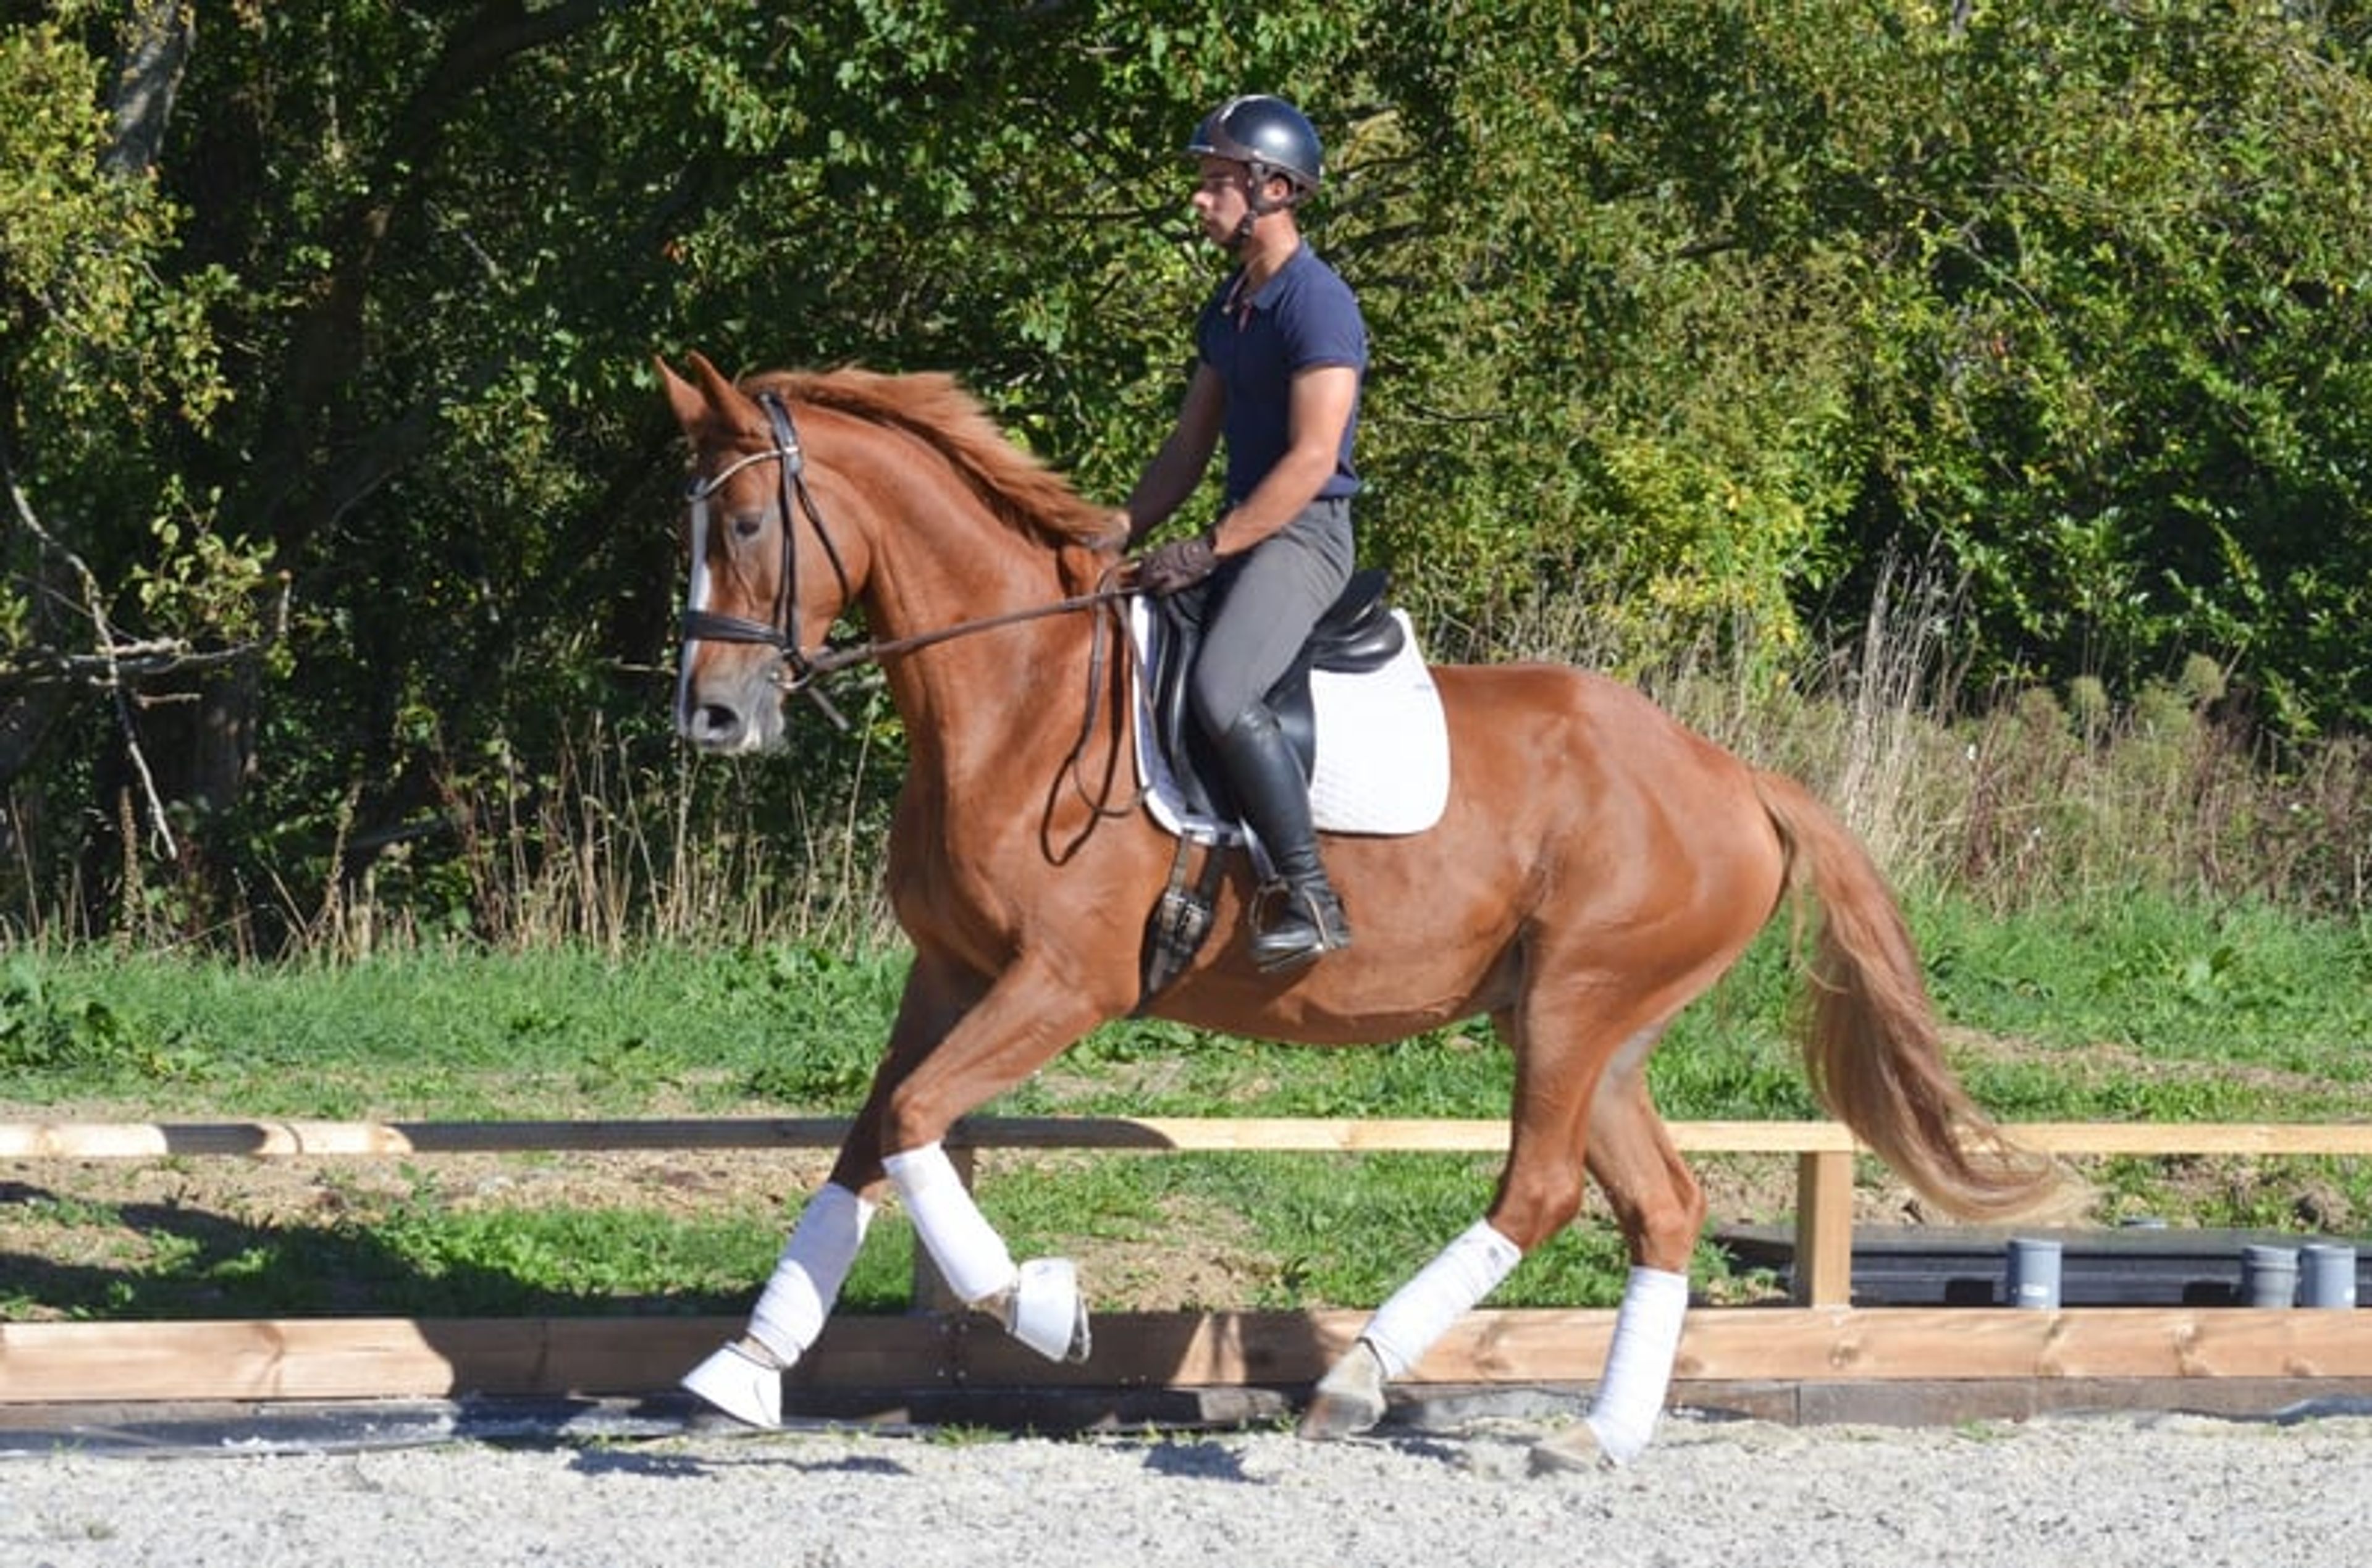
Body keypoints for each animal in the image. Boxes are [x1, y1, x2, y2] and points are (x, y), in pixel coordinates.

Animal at [657, 351, 2068, 1469]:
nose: (710, 717)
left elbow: (913, 1119)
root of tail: (1732, 775)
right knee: (1660, 1202)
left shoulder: (1065, 979)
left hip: (1577, 1002)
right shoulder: (948, 970)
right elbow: (871, 1137)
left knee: (1540, 1187)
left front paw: (1040, 1303)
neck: (1018, 688)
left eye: (748, 521)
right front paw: (742, 1369)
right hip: (1590, 1024)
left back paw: (1356, 1378)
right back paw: (1596, 1436)